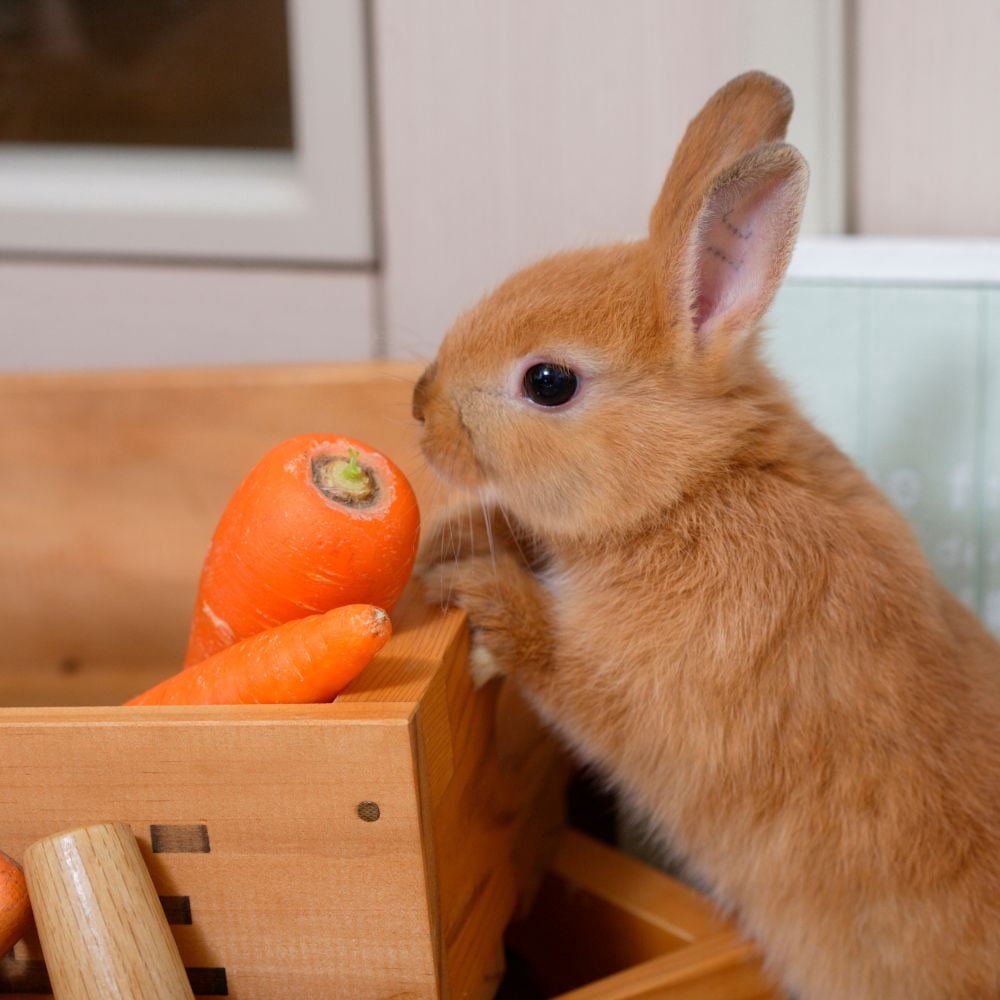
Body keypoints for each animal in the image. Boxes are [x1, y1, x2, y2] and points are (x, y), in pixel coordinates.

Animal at [412, 71, 1000, 1000]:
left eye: (549, 382)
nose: (420, 406)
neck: (694, 486)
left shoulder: (644, 689)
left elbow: (555, 661)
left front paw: (474, 586)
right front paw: (453, 536)